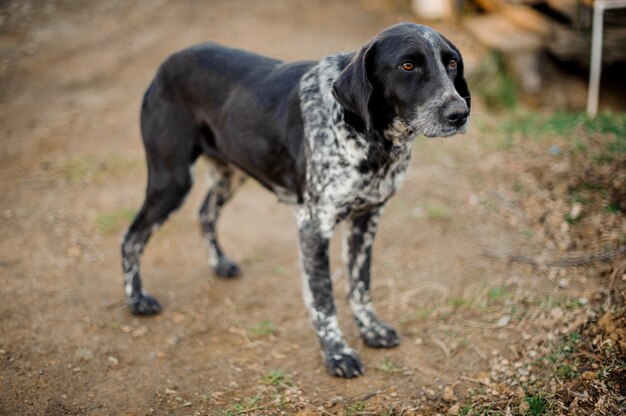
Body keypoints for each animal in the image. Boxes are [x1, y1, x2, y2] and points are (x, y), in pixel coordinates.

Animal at [120, 23, 468, 380]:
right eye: (407, 65)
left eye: (452, 63)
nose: (460, 113)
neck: (370, 137)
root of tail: (167, 63)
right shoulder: (313, 226)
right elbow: (324, 298)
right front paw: (337, 353)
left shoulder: (367, 219)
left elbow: (360, 284)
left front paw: (371, 330)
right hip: (171, 180)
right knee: (132, 237)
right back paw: (138, 299)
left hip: (230, 173)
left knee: (205, 213)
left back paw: (219, 263)